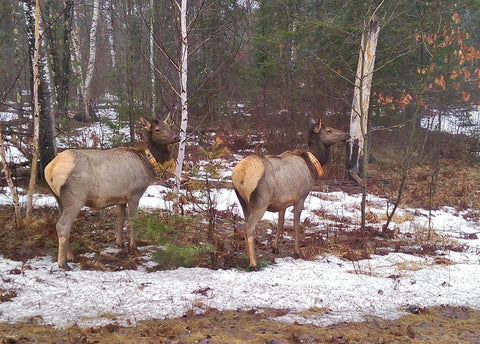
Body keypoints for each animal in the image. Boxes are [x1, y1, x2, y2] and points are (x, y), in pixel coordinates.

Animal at [44, 114, 179, 270]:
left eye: (168, 126)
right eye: (157, 129)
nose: (177, 137)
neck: (148, 164)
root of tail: (50, 169)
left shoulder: (121, 198)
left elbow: (120, 219)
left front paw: (119, 243)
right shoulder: (134, 194)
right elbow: (132, 220)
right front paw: (133, 247)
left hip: (59, 198)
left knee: (61, 224)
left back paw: (71, 256)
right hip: (75, 197)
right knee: (62, 225)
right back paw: (63, 263)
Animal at [231, 118, 346, 268]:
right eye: (329, 130)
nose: (347, 135)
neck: (312, 166)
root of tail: (242, 173)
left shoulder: (282, 201)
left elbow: (280, 222)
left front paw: (275, 247)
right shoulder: (301, 197)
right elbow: (296, 224)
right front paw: (297, 251)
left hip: (243, 200)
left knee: (246, 225)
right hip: (260, 201)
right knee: (249, 227)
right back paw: (254, 264)